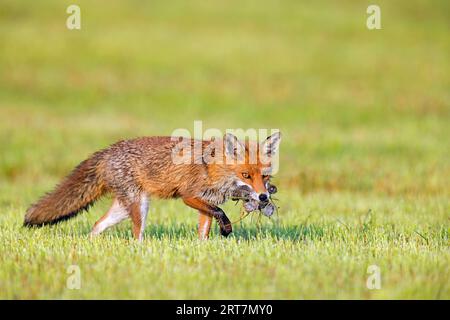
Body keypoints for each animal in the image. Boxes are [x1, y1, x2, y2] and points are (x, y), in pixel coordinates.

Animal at [24, 131, 282, 239]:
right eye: (246, 175)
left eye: (265, 177)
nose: (263, 198)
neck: (212, 169)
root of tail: (107, 151)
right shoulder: (189, 196)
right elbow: (220, 213)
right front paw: (226, 229)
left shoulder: (206, 202)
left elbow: (205, 230)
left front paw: (202, 248)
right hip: (139, 206)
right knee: (135, 234)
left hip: (124, 208)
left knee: (97, 225)